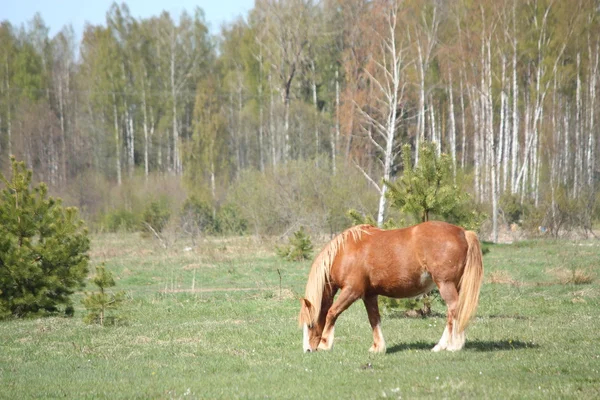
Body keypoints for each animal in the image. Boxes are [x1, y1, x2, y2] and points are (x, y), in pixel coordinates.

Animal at [298, 222, 482, 354]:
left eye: (310, 324)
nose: (308, 350)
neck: (344, 252)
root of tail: (463, 232)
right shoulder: (369, 295)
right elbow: (374, 319)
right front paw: (377, 347)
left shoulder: (352, 291)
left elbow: (332, 313)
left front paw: (324, 344)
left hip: (445, 284)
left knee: (454, 310)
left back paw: (448, 346)